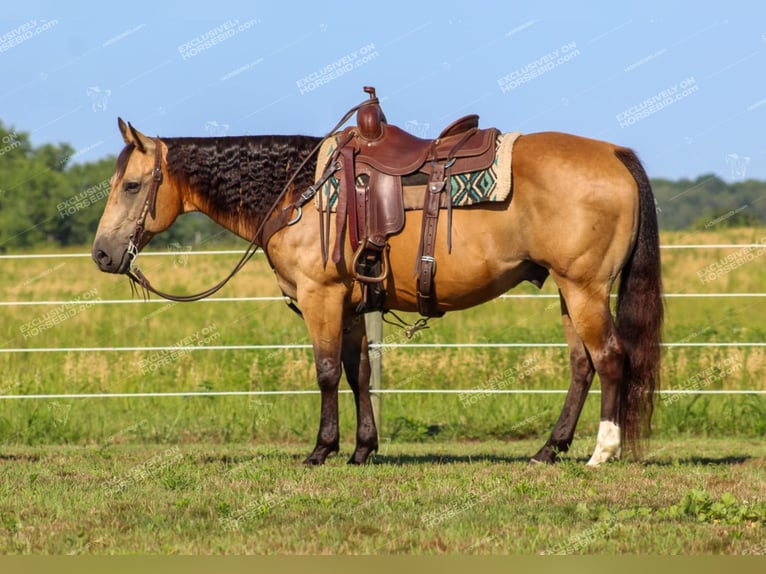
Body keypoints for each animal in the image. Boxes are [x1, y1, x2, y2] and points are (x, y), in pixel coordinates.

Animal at [91, 89, 664, 468]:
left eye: (133, 185)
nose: (101, 253)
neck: (298, 192)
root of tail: (614, 153)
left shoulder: (321, 298)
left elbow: (325, 372)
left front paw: (321, 450)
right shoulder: (349, 304)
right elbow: (357, 372)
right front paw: (363, 448)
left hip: (585, 288)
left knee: (610, 358)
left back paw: (602, 451)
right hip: (570, 290)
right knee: (582, 366)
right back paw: (549, 449)